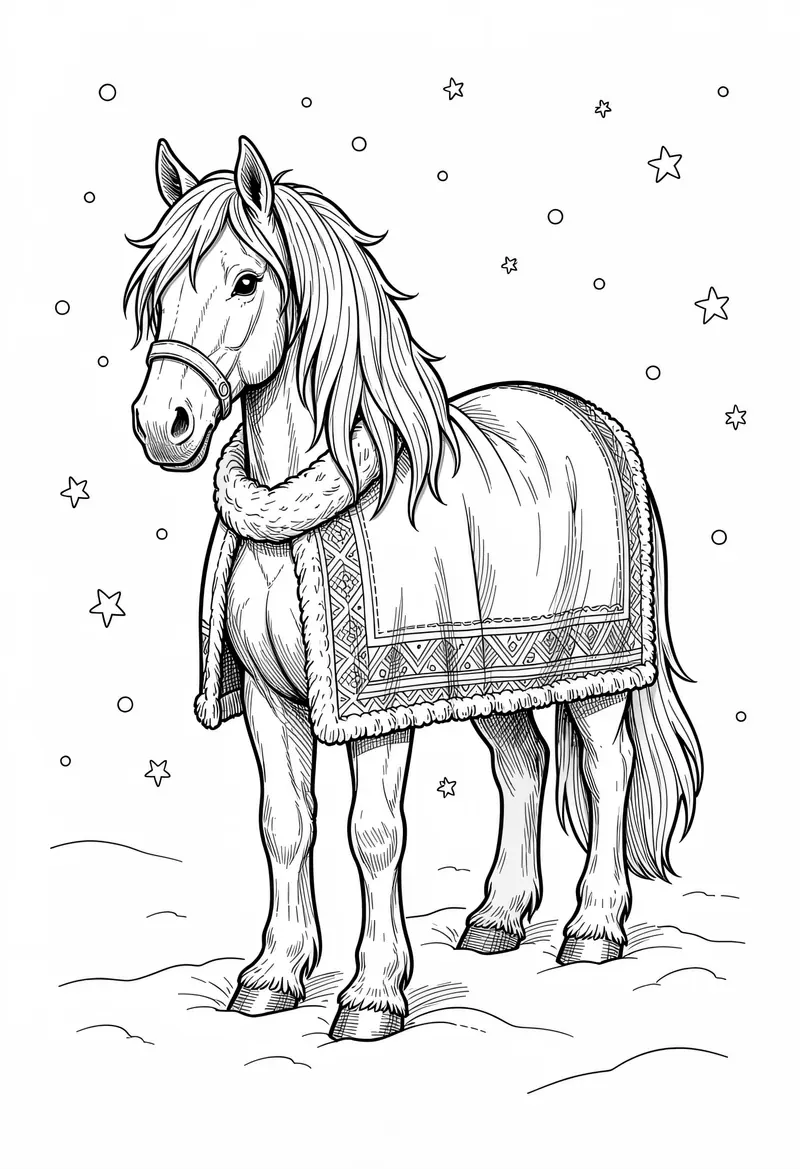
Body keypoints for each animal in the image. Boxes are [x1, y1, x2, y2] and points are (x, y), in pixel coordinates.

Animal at [126, 136, 703, 1042]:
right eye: (156, 291)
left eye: (246, 281)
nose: (163, 424)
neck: (308, 506)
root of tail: (602, 426)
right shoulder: (269, 698)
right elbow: (285, 826)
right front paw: (273, 975)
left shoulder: (382, 708)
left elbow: (372, 833)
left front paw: (372, 995)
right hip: (500, 678)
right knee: (524, 764)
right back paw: (498, 918)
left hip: (598, 680)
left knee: (607, 772)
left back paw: (593, 927)